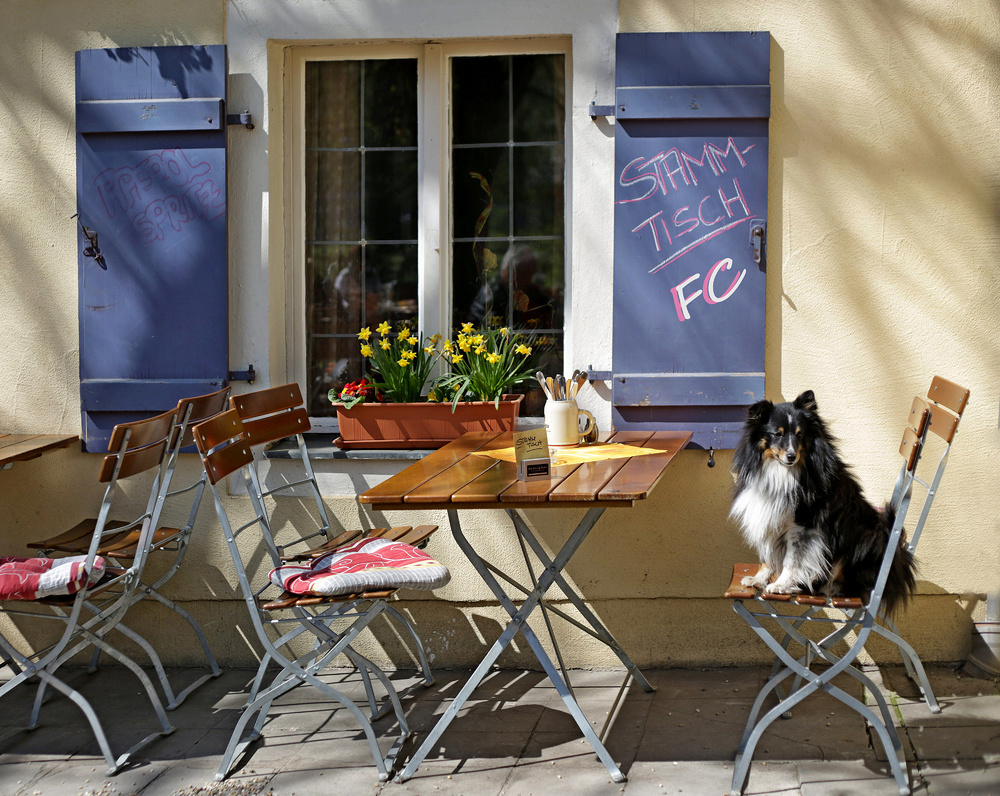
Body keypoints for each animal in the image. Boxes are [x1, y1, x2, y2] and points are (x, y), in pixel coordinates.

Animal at [728, 392, 916, 616]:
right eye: (777, 434)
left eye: (800, 434)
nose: (791, 456)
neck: (783, 472)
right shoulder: (769, 517)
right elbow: (767, 556)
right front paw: (757, 580)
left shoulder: (803, 525)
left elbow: (792, 560)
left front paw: (780, 585)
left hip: (866, 537)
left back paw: (829, 587)